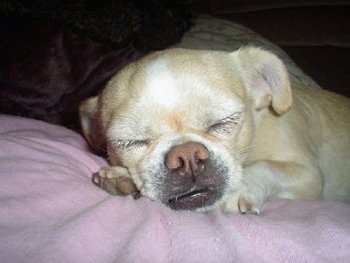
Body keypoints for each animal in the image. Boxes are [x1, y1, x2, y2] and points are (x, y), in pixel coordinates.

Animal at [79, 48, 350, 214]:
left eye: (223, 122)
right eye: (132, 142)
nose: (187, 155)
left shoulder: (309, 176)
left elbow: (266, 167)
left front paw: (238, 189)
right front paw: (119, 176)